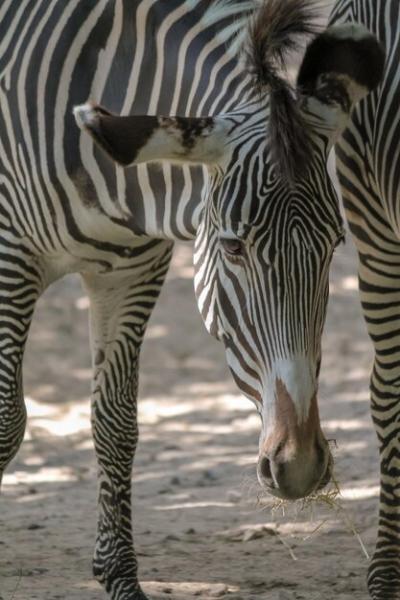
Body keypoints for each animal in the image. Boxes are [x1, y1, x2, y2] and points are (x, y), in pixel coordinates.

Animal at [0, 0, 384, 596]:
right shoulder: (11, 254)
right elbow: (6, 421)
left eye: (334, 246)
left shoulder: (132, 270)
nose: (298, 467)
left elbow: (116, 423)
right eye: (232, 247)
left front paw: (119, 577)